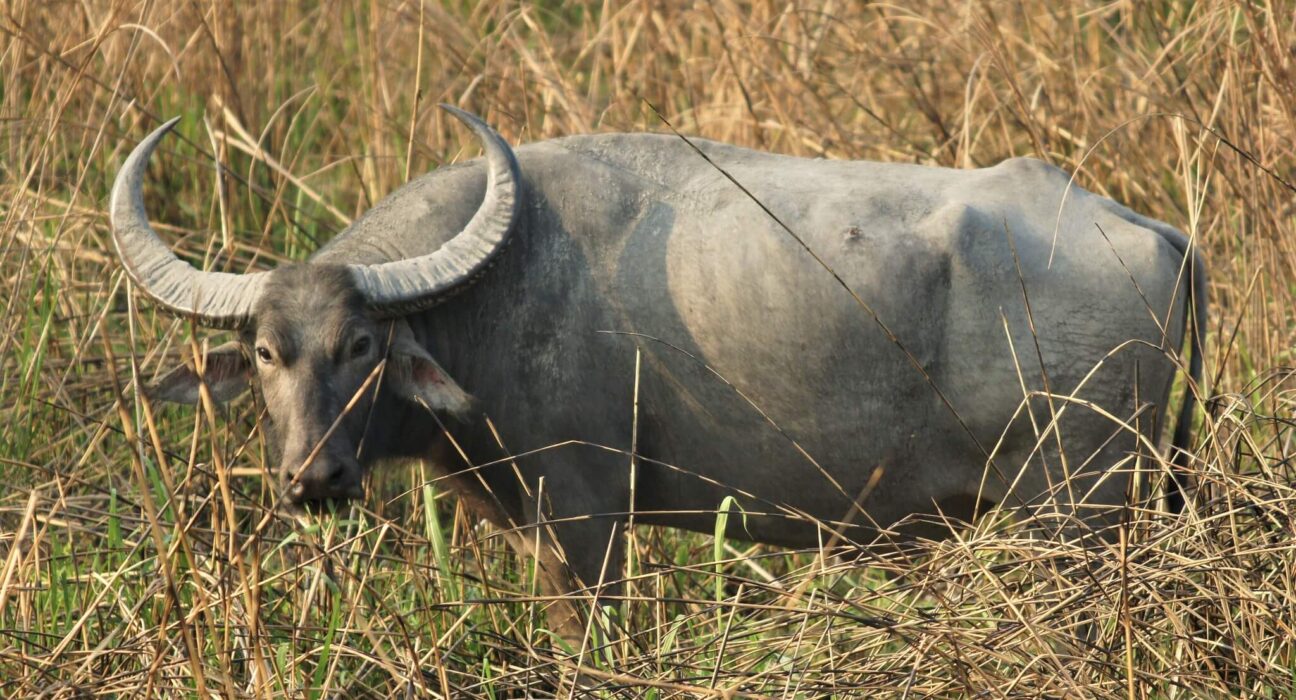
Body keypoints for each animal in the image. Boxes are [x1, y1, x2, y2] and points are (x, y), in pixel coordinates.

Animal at [111, 108, 1202, 635]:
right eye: (266, 351)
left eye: (363, 345)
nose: (312, 478)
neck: (504, 284)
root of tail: (1147, 230)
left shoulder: (584, 519)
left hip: (1075, 514)